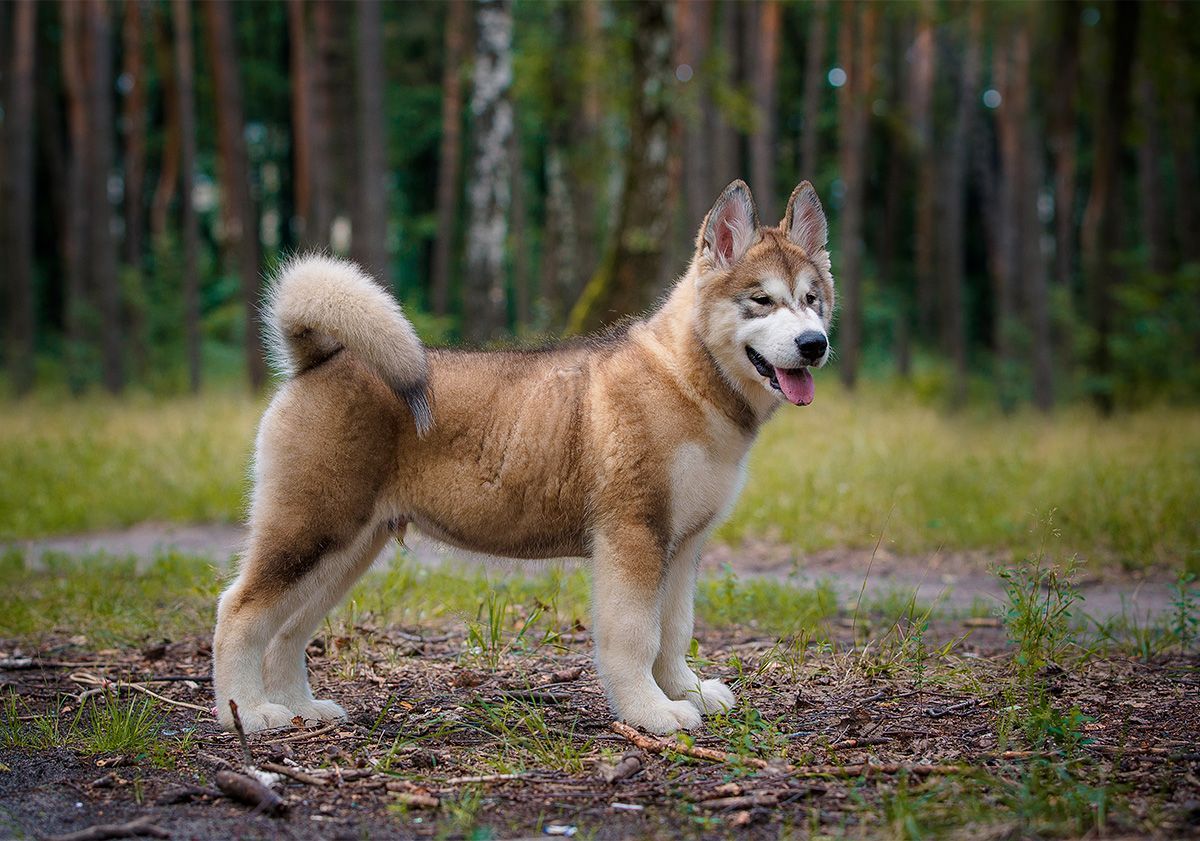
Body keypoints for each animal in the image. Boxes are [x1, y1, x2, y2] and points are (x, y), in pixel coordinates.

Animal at [213, 179, 835, 729]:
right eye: (761, 301)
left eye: (813, 300)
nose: (815, 344)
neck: (687, 381)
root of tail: (322, 359)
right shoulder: (633, 536)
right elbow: (637, 636)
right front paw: (652, 712)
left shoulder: (683, 547)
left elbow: (675, 630)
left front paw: (686, 691)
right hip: (310, 530)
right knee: (238, 612)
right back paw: (248, 713)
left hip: (347, 547)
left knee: (288, 630)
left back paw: (301, 708)